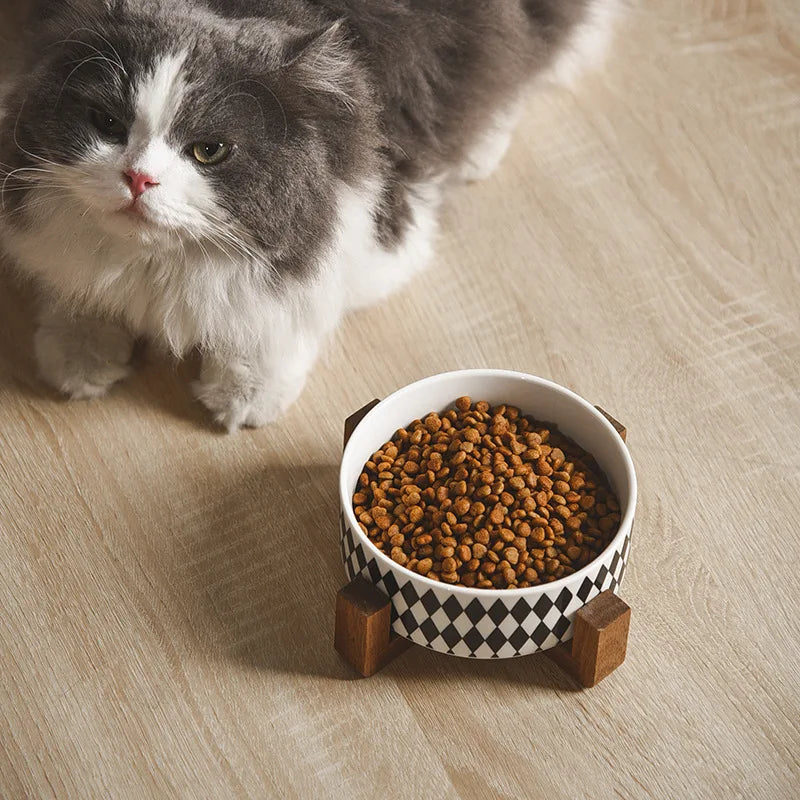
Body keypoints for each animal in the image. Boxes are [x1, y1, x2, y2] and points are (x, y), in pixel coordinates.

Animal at [0, 0, 620, 432]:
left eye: (209, 151)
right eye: (107, 124)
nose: (137, 179)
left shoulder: (375, 233)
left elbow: (276, 318)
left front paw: (244, 398)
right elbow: (78, 287)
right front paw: (81, 357)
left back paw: (478, 152)